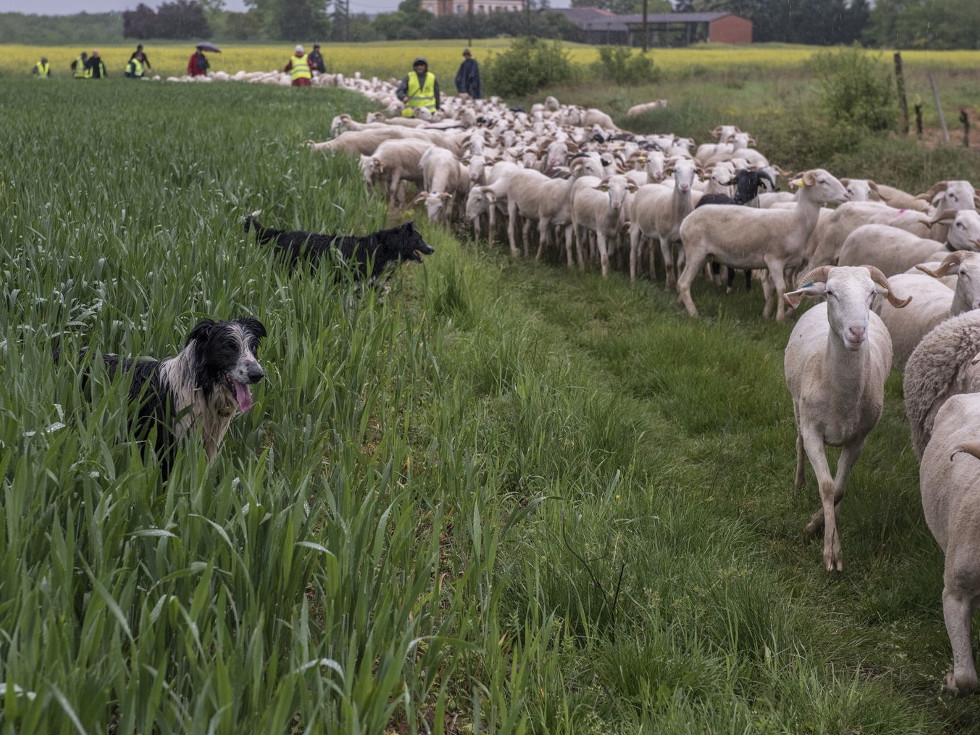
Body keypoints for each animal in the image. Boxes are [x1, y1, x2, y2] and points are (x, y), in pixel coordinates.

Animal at [676, 174, 848, 324]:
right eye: (822, 181)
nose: (846, 195)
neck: (797, 221)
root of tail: (686, 220)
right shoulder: (774, 260)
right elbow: (781, 288)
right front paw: (779, 318)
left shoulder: (783, 265)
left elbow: (776, 289)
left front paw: (766, 314)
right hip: (695, 252)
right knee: (684, 282)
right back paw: (693, 312)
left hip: (703, 255)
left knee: (681, 281)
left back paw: (680, 303)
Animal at [780, 268, 912, 572]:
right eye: (831, 292)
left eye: (871, 293)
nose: (857, 331)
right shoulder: (813, 432)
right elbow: (827, 486)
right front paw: (829, 551)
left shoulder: (858, 440)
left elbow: (839, 488)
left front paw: (820, 525)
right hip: (797, 405)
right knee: (798, 444)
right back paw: (798, 485)